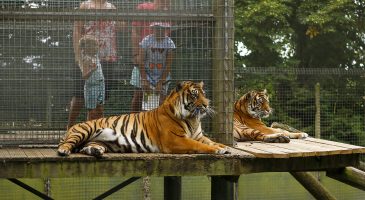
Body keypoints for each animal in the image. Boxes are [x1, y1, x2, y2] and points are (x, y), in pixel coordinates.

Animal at [58, 80, 229, 157]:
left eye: (203, 94)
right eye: (194, 94)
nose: (207, 104)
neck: (193, 119)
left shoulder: (199, 136)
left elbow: (210, 141)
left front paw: (224, 147)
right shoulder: (176, 140)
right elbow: (200, 145)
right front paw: (217, 150)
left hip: (97, 141)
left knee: (87, 147)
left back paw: (95, 151)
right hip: (84, 130)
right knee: (68, 143)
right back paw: (64, 150)